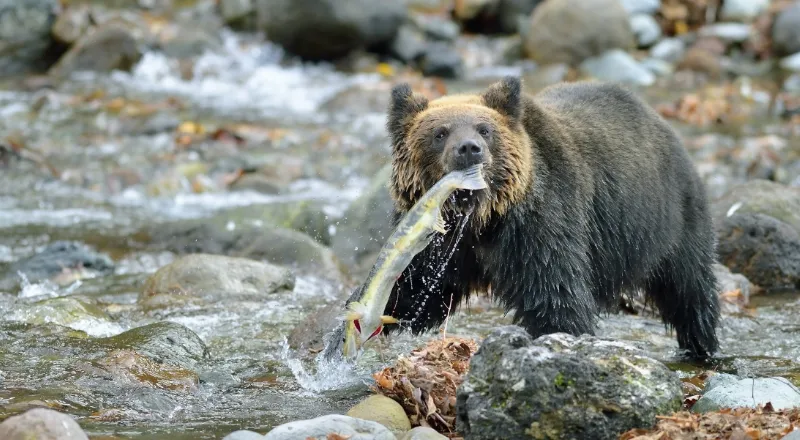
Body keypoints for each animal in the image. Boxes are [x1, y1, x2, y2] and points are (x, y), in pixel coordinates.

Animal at [379, 76, 721, 359]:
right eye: (440, 133)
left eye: (484, 129)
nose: (469, 148)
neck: (482, 219)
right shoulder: (440, 241)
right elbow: (415, 290)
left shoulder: (540, 223)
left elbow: (554, 294)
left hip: (670, 218)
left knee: (689, 287)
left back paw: (701, 344)